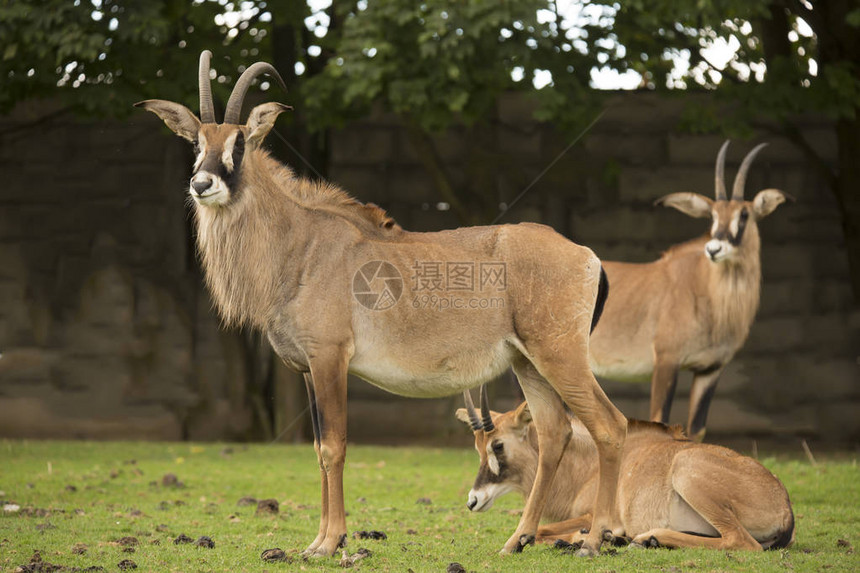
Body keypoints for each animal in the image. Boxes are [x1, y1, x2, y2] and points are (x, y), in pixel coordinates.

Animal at [136, 51, 632, 556]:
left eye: (239, 143)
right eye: (196, 142)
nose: (202, 184)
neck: (299, 244)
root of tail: (586, 256)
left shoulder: (330, 357)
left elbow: (334, 446)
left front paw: (329, 542)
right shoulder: (308, 368)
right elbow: (318, 449)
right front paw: (318, 540)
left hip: (559, 354)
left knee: (610, 425)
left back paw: (597, 538)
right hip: (528, 362)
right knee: (554, 434)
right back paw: (518, 539)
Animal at [456, 394, 792, 548]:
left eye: (498, 445)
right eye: (477, 446)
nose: (473, 500)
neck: (587, 465)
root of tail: (786, 507)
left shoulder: (593, 514)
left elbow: (541, 531)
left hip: (686, 472)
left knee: (739, 541)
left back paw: (646, 537)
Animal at [592, 141, 792, 440]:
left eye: (744, 215)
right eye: (713, 215)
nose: (714, 249)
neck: (707, 292)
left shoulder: (710, 370)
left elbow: (697, 430)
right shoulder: (666, 361)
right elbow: (658, 420)